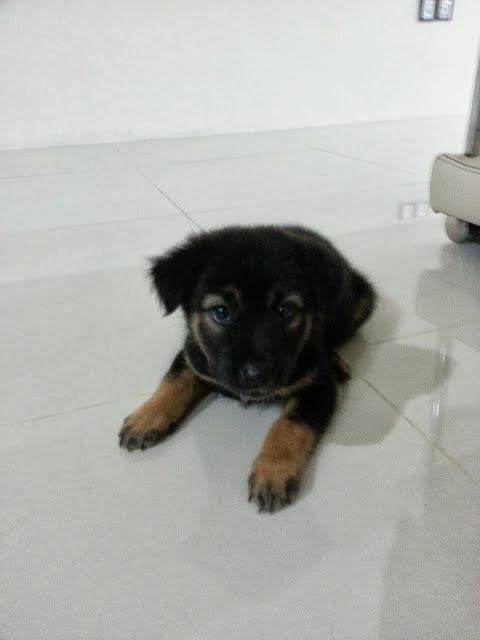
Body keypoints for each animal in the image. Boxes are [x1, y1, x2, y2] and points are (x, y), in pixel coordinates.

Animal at [119, 225, 376, 512]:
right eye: (220, 311)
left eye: (286, 309)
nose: (256, 375)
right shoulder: (193, 354)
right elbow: (173, 381)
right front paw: (146, 417)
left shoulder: (318, 386)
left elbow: (290, 424)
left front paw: (273, 471)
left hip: (361, 303)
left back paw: (336, 360)